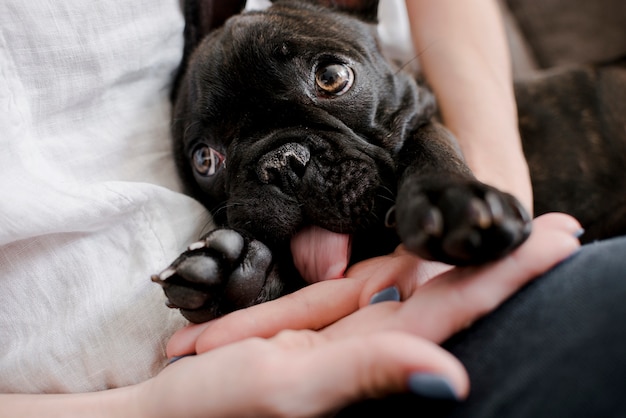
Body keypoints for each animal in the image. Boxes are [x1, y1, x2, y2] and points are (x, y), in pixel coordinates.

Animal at [151, 0, 624, 324]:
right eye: (204, 159)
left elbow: (428, 143)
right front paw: (231, 275)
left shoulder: (426, 119)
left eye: (332, 78)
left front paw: (451, 200)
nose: (281, 162)